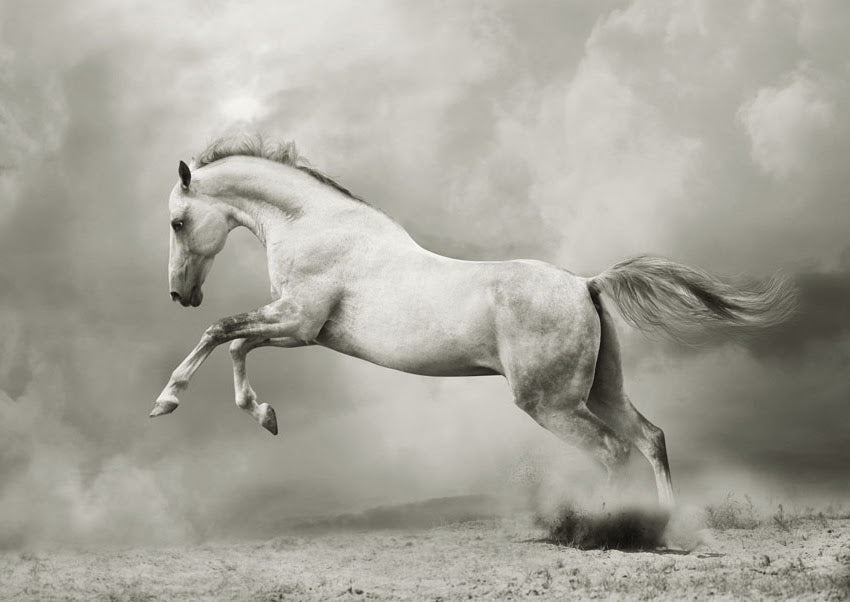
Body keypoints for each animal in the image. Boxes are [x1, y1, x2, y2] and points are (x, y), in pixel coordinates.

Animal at [151, 135, 797, 510]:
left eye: (179, 222)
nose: (180, 294)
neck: (315, 225)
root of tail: (585, 284)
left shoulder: (299, 323)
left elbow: (221, 333)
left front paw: (167, 401)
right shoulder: (294, 328)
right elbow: (234, 345)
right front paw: (265, 416)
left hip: (551, 403)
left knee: (614, 451)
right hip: (600, 390)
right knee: (650, 438)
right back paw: (665, 527)